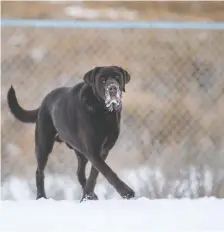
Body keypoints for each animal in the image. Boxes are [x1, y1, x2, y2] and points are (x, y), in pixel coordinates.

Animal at [7, 65, 135, 201]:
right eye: (102, 79)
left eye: (117, 77)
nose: (113, 88)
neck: (104, 112)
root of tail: (43, 102)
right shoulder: (92, 151)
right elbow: (107, 171)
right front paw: (126, 192)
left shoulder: (102, 150)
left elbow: (94, 173)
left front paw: (87, 196)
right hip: (43, 146)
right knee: (39, 172)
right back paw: (41, 197)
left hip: (80, 153)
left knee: (79, 173)